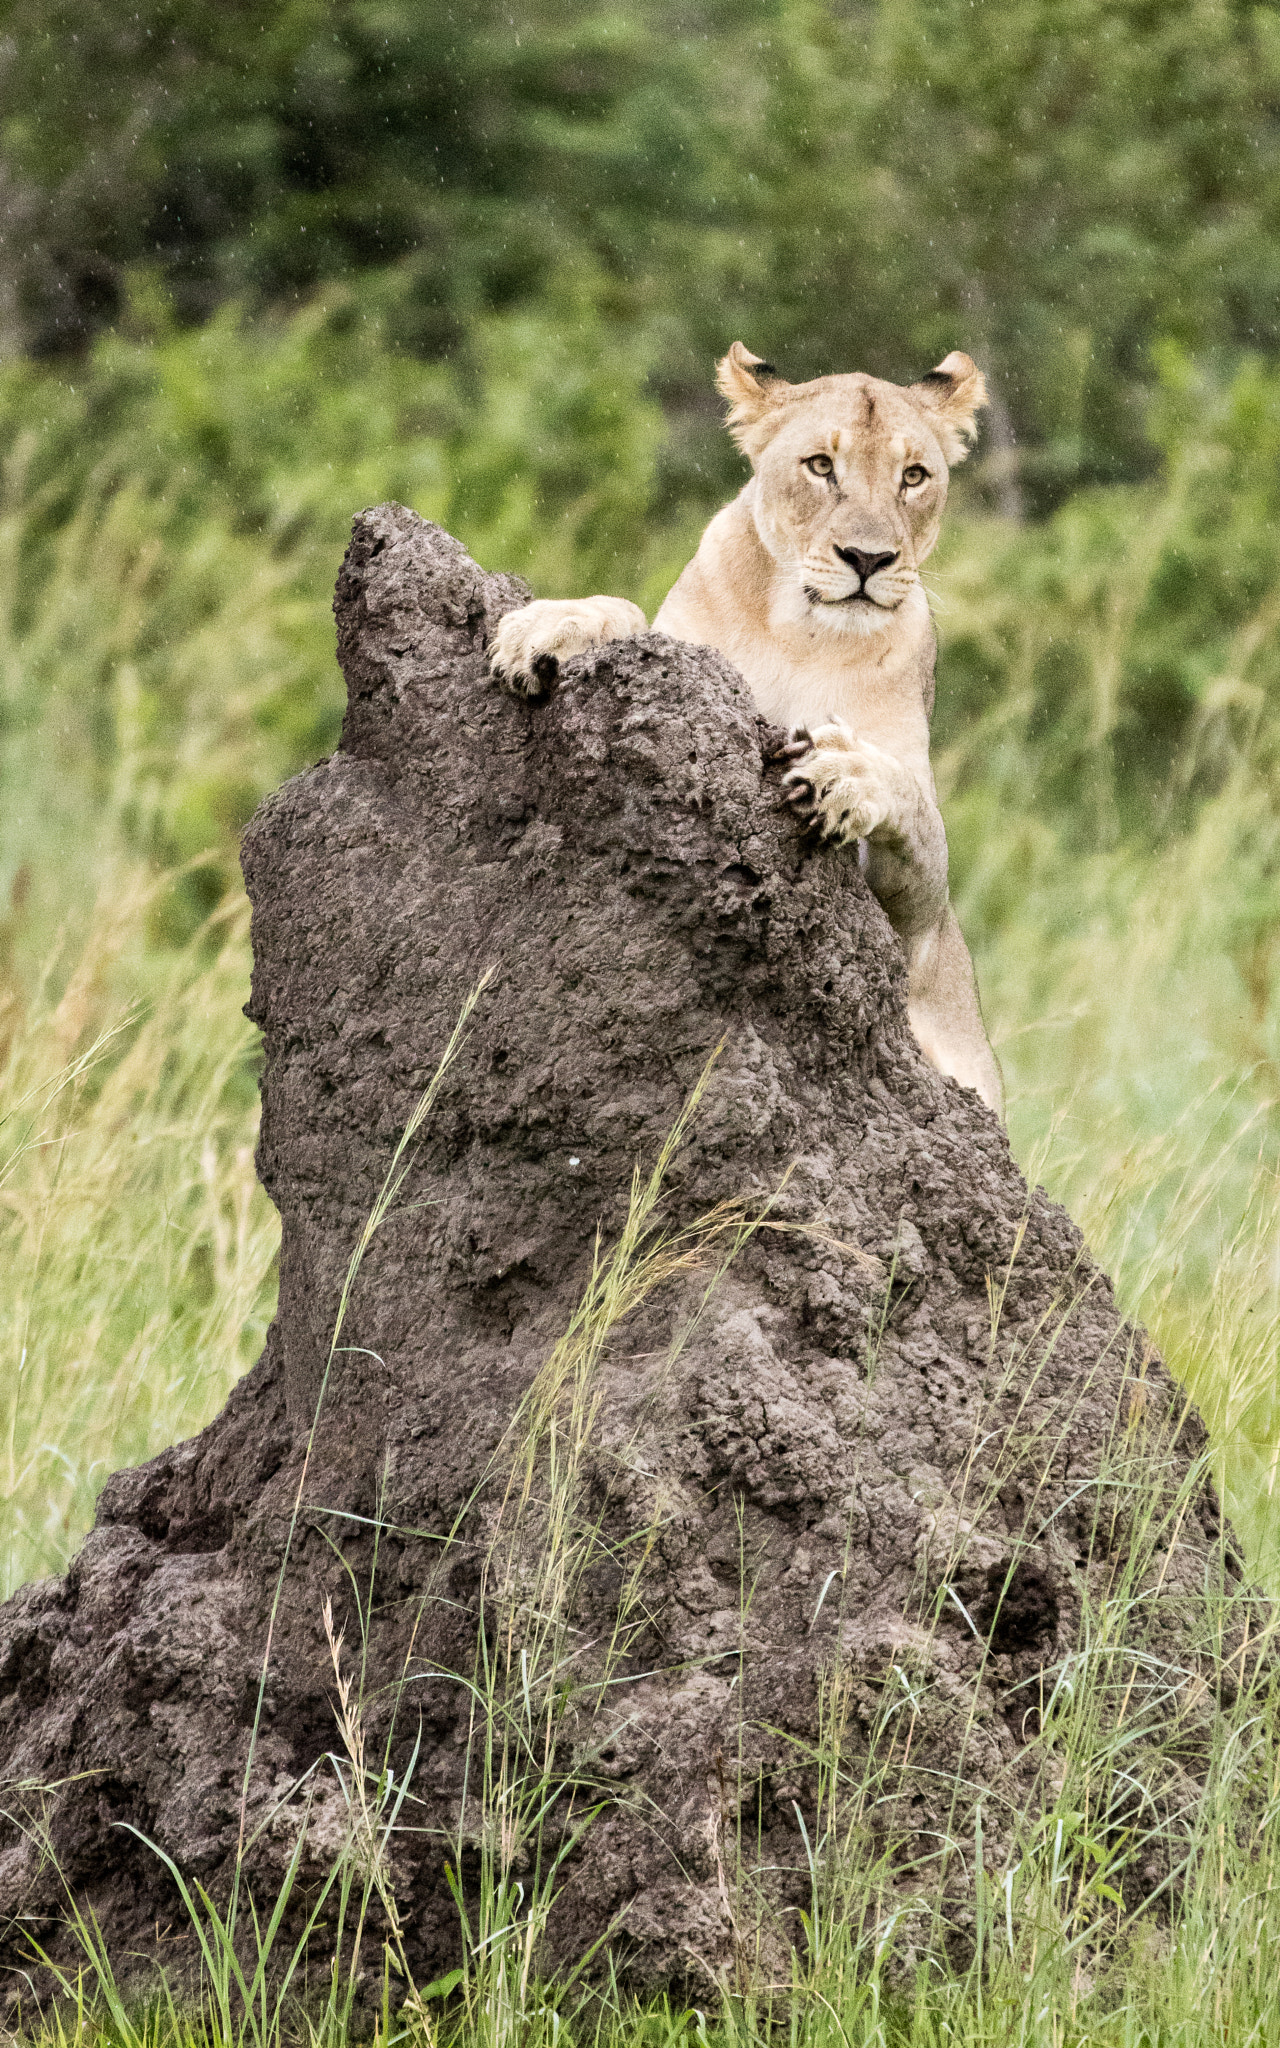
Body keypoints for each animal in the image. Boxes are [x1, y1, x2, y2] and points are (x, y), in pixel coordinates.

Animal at [489, 348, 999, 1122]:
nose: (868, 560)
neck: (804, 635)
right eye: (820, 466)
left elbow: (907, 799)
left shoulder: (918, 932)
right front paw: (549, 625)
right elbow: (627, 613)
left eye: (914, 477)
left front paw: (843, 774)